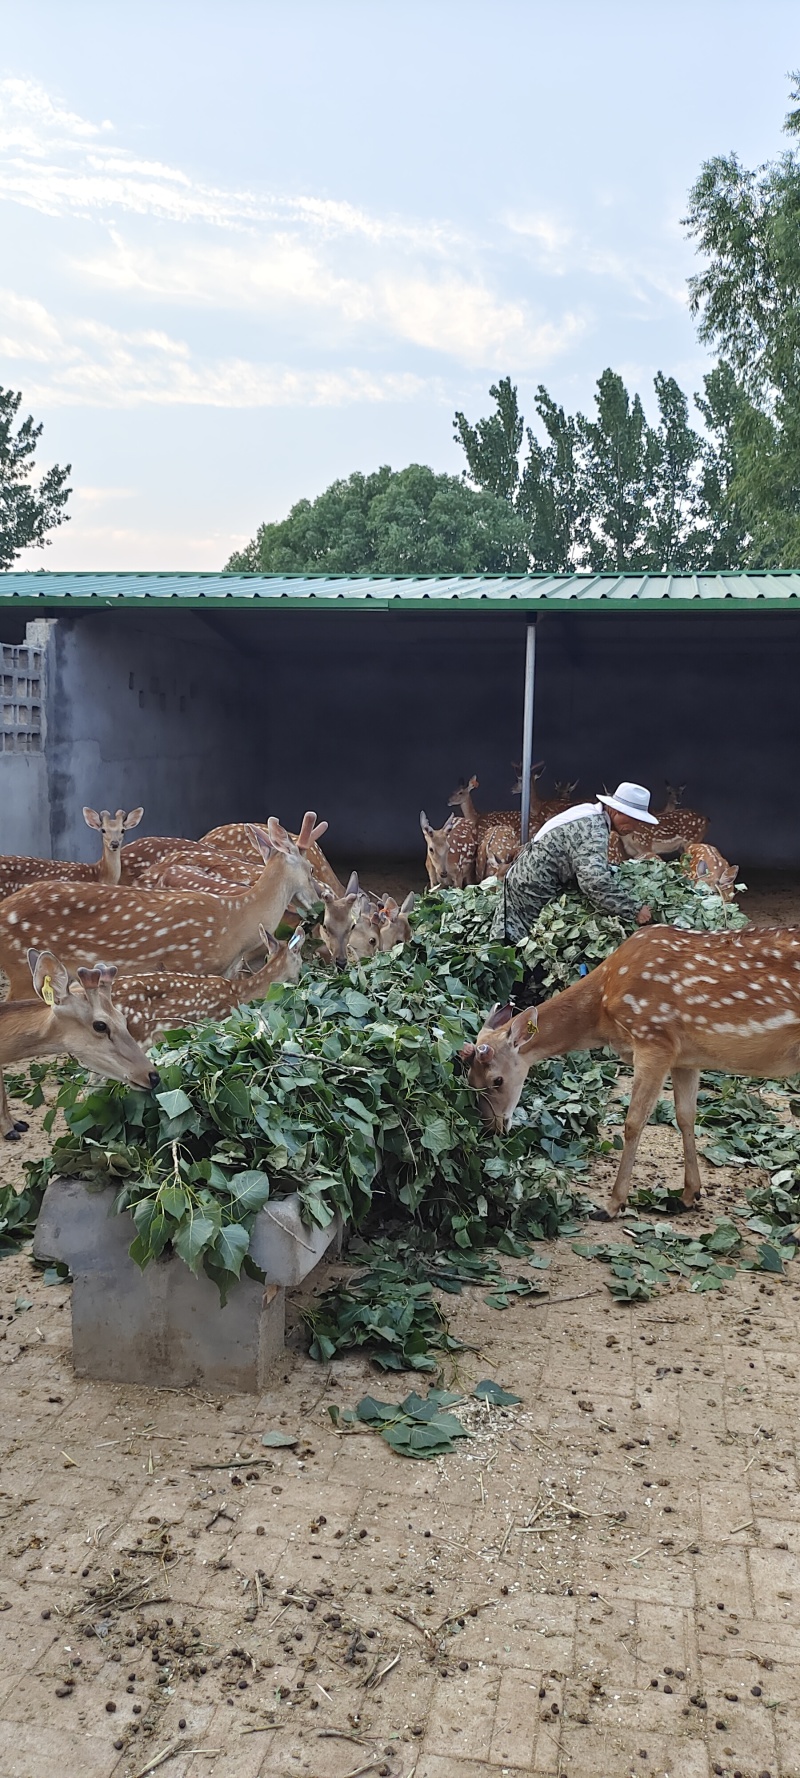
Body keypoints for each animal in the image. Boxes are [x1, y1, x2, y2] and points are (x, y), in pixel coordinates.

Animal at [460, 921, 800, 1217]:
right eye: (469, 1079)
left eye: (497, 1080)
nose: (491, 1128)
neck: (603, 1006)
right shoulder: (685, 1057)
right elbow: (685, 1116)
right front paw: (690, 1194)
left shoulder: (654, 1038)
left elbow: (634, 1122)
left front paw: (612, 1205)